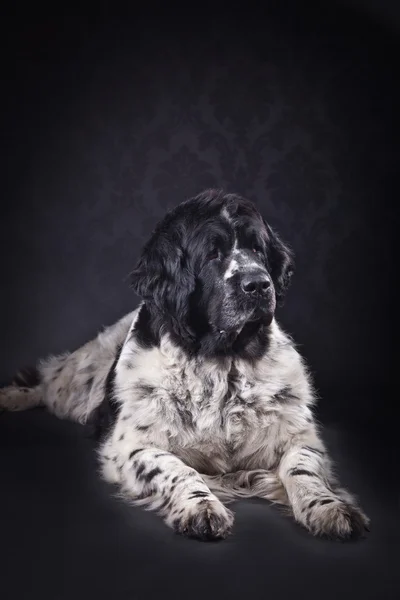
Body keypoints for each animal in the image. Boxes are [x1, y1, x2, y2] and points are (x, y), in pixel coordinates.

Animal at [0, 190, 368, 540]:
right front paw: (200, 506)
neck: (222, 362)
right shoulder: (132, 446)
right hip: (78, 379)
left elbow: (303, 467)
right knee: (48, 381)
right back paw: (12, 396)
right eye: (213, 254)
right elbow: (176, 468)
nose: (259, 284)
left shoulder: (299, 436)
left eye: (258, 249)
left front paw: (328, 507)